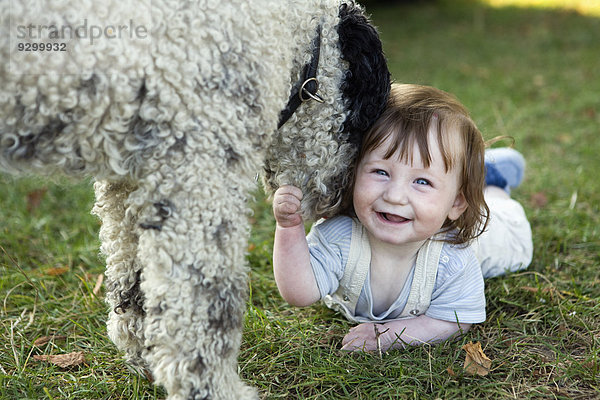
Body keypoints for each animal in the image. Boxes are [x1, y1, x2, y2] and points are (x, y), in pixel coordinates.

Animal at [0, 1, 390, 398]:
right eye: (367, 116)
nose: (342, 205)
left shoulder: (131, 180)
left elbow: (133, 282)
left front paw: (146, 356)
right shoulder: (200, 177)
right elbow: (206, 306)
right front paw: (212, 387)